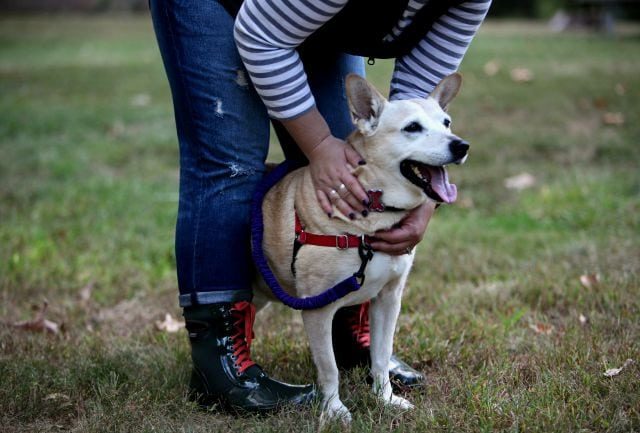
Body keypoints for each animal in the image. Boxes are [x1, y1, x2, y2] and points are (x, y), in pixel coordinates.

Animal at [255, 74, 470, 422]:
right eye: (412, 128)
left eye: (446, 123)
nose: (461, 145)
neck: (374, 216)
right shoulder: (317, 310)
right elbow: (329, 369)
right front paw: (334, 410)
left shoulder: (388, 299)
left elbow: (381, 356)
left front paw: (385, 398)